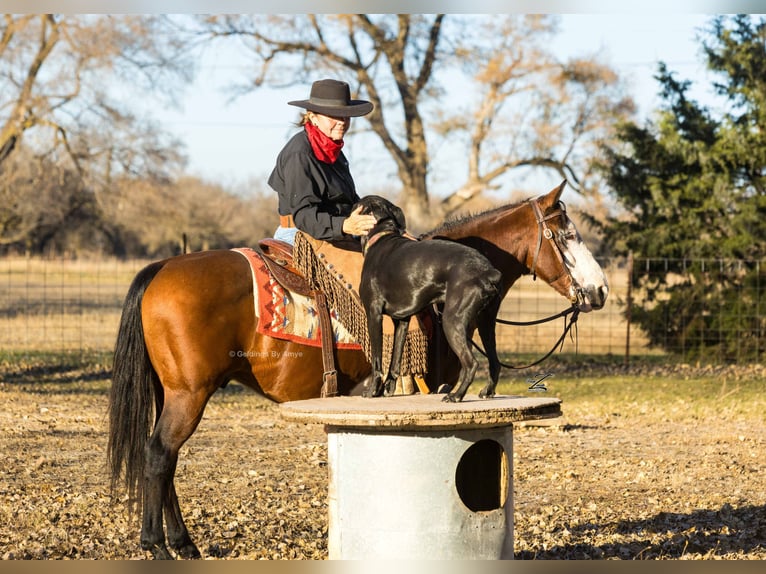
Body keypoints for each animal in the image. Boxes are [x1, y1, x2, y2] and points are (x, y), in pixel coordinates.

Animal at [107, 180, 608, 559]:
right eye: (566, 235)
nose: (600, 290)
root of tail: (162, 267)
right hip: (189, 393)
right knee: (159, 455)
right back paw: (157, 545)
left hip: (175, 393)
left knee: (166, 459)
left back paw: (181, 543)